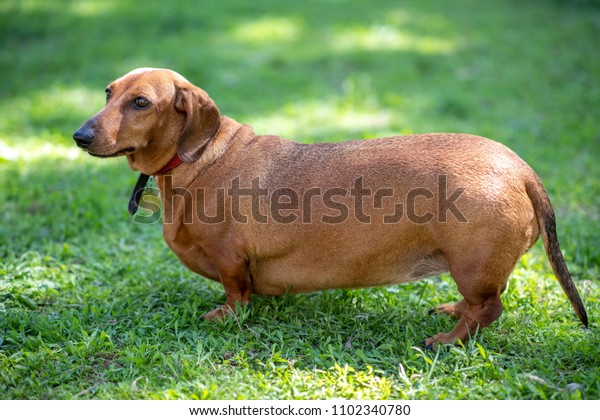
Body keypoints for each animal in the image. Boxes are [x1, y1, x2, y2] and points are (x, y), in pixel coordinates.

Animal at [71, 67, 584, 346]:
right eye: (108, 92)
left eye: (141, 102)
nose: (79, 136)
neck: (199, 160)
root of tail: (521, 168)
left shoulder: (231, 259)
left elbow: (237, 294)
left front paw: (225, 316)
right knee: (481, 304)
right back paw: (452, 313)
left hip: (472, 264)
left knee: (489, 309)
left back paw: (447, 341)